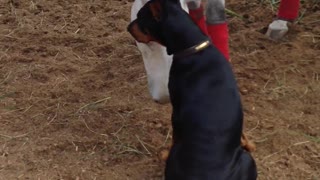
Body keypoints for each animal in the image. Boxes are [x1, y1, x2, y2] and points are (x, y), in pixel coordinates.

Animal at [127, 0, 258, 179]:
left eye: (140, 18)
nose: (128, 27)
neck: (194, 45)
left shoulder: (176, 110)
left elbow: (175, 135)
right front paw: (248, 142)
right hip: (248, 161)